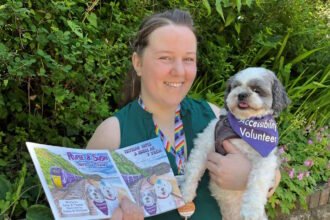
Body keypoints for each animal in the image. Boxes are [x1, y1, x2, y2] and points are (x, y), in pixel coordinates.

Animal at [182, 67, 290, 220]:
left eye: (257, 90)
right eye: (236, 86)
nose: (241, 94)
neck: (243, 126)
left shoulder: (267, 158)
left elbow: (258, 181)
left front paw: (252, 209)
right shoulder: (205, 142)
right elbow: (194, 168)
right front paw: (186, 192)